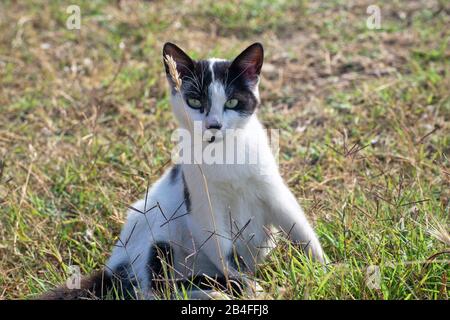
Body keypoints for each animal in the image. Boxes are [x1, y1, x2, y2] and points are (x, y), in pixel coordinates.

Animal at [41, 42, 324, 300]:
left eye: (232, 102)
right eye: (195, 101)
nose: (213, 125)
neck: (225, 154)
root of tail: (111, 269)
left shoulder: (273, 190)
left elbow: (300, 228)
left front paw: (324, 270)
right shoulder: (204, 207)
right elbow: (225, 255)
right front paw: (251, 289)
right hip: (154, 236)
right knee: (157, 288)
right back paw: (214, 293)